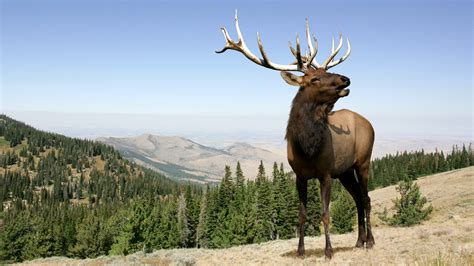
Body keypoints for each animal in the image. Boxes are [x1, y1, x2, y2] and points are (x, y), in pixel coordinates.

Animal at [217, 11, 376, 258]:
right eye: (314, 78)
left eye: (326, 71)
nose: (345, 79)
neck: (307, 147)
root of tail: (369, 123)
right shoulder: (300, 175)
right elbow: (301, 215)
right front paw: (300, 250)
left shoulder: (325, 173)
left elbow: (325, 214)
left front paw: (328, 251)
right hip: (345, 171)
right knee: (359, 199)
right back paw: (359, 241)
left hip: (364, 161)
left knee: (367, 198)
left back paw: (370, 241)